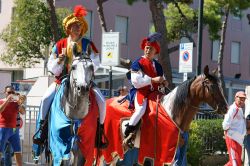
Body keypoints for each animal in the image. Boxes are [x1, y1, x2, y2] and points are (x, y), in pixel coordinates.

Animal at [101, 65, 229, 165]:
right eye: (211, 86)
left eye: (219, 85)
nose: (225, 108)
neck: (171, 112)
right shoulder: (163, 153)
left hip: (119, 148)